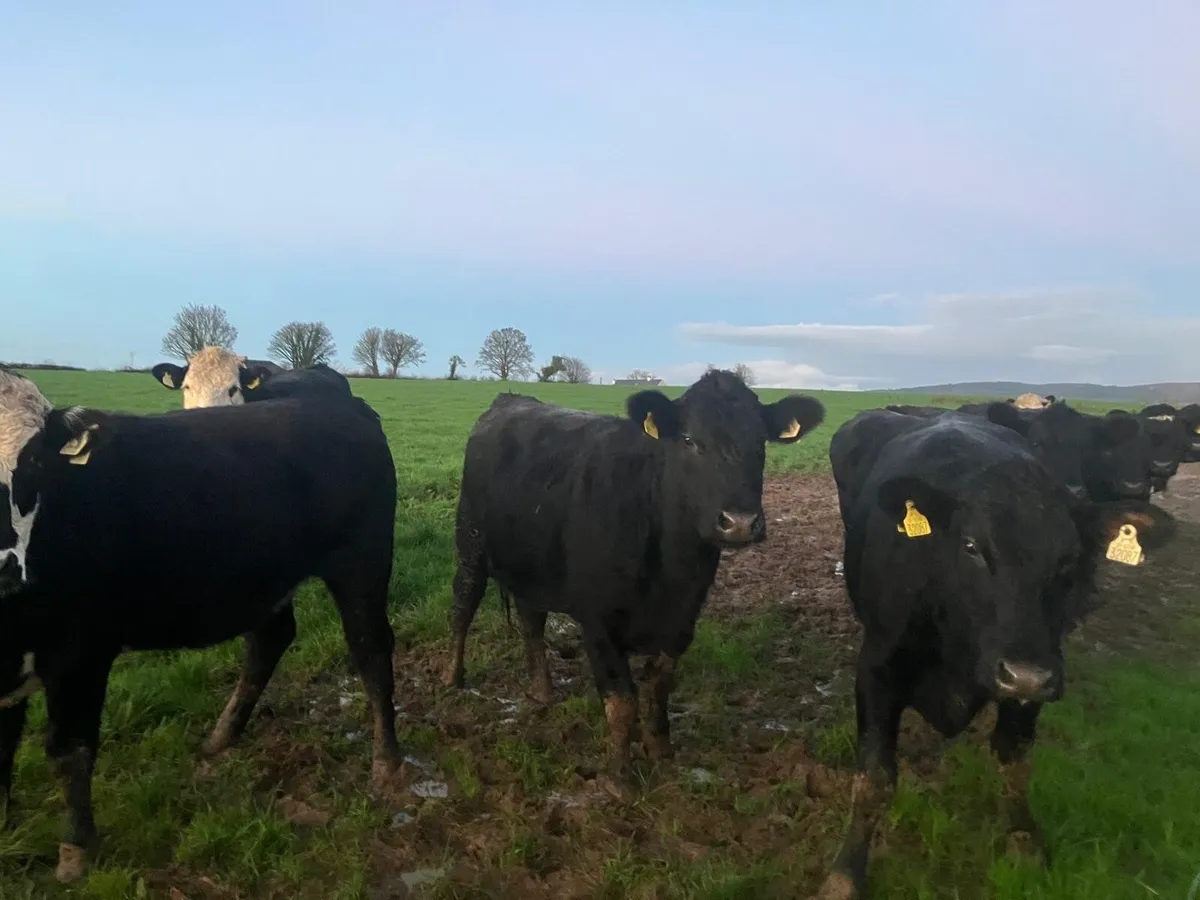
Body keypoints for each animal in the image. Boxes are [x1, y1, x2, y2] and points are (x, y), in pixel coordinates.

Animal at [0, 367, 401, 882]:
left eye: (32, 460)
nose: (3, 565)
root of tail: (343, 405)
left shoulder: (82, 654)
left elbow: (71, 752)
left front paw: (76, 851)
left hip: (361, 565)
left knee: (371, 649)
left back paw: (387, 763)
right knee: (269, 642)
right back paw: (222, 735)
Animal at [442, 371, 826, 783]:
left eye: (760, 442)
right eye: (688, 440)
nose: (739, 522)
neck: (669, 571)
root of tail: (510, 399)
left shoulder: (682, 621)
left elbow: (660, 686)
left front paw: (660, 750)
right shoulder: (598, 622)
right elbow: (622, 701)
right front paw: (619, 777)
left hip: (531, 564)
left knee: (531, 622)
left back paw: (542, 692)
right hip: (470, 542)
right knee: (463, 606)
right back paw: (452, 678)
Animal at [811, 408, 1176, 899]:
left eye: (1069, 558)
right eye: (971, 546)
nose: (1023, 674)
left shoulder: (1039, 673)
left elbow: (1015, 762)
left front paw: (1025, 842)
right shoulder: (876, 670)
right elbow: (873, 780)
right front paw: (845, 873)